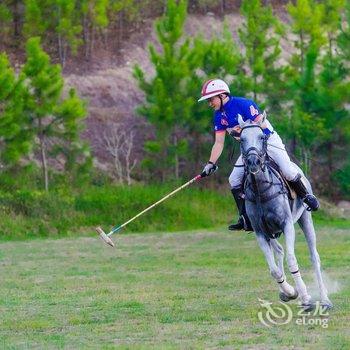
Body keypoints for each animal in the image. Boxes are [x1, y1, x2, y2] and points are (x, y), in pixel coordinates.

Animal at [239, 114, 332, 308]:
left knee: (314, 257)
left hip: (305, 218)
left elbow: (291, 259)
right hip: (271, 232)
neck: (261, 190)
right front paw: (290, 292)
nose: (253, 162)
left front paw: (305, 296)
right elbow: (274, 271)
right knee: (279, 251)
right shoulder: (260, 232)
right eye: (241, 139)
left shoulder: (287, 224)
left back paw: (325, 299)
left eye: (262, 137)